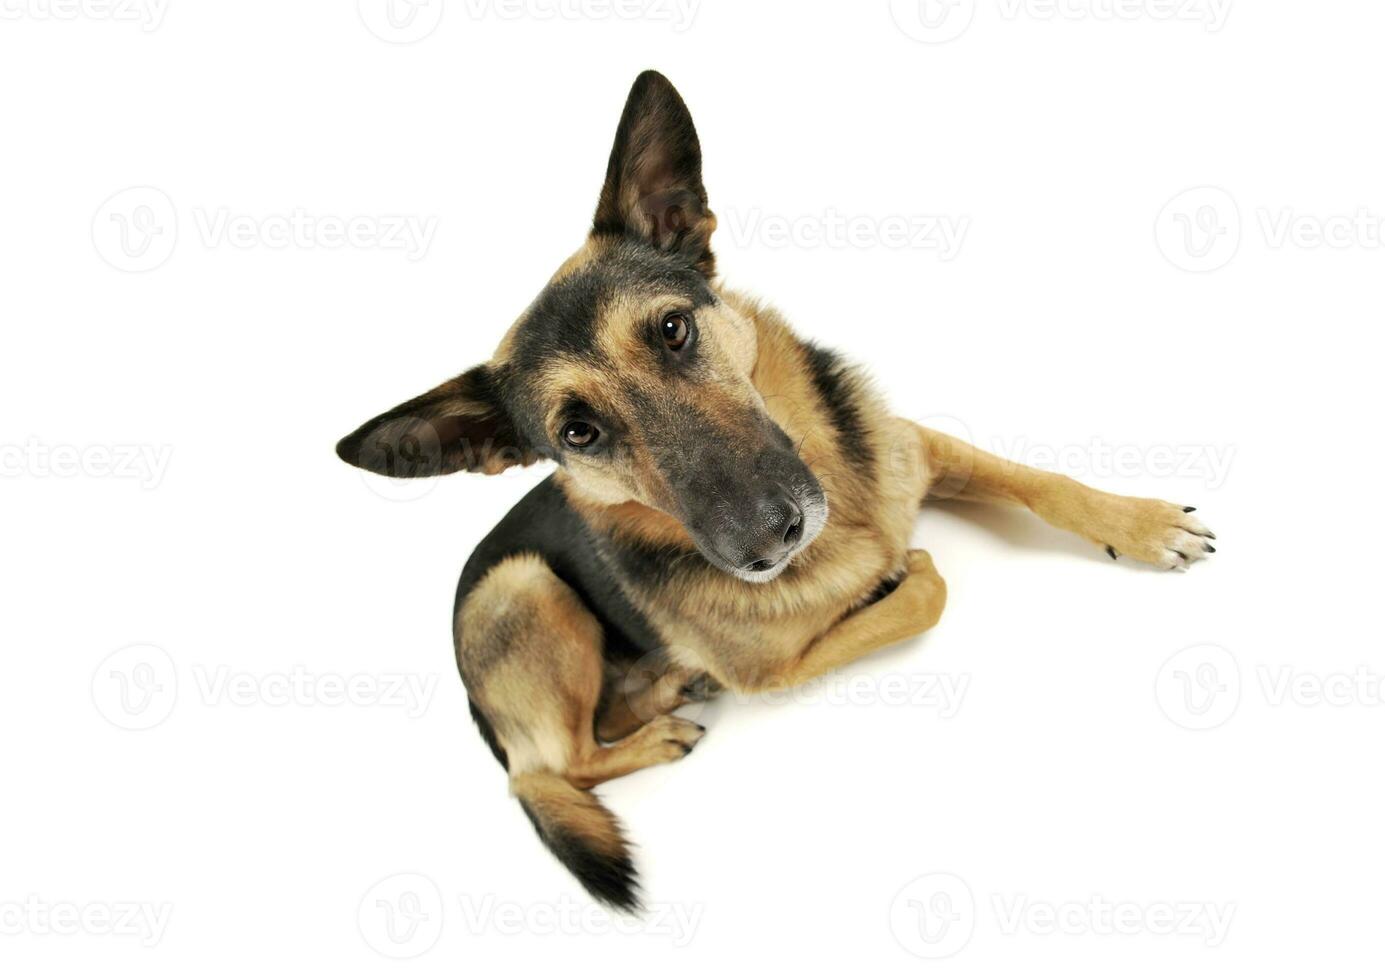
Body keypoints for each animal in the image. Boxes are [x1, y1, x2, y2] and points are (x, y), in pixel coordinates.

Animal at [332, 68, 1213, 913]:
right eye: (577, 433)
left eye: (672, 330)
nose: (764, 543)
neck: (849, 513)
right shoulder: (778, 673)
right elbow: (924, 593)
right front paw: (905, 571)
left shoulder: (915, 447)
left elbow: (1038, 480)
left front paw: (1138, 523)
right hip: (522, 588)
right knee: (548, 770)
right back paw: (658, 734)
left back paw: (665, 690)